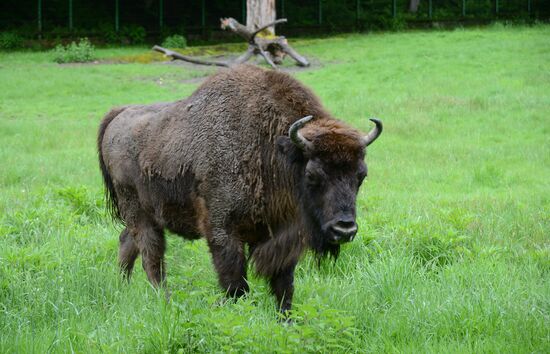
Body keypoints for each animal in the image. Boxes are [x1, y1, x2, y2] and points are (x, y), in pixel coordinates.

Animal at [98, 63, 384, 312]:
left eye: (361, 175)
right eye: (313, 175)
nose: (344, 229)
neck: (273, 149)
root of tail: (118, 114)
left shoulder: (281, 237)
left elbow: (284, 287)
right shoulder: (223, 233)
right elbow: (236, 286)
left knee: (127, 242)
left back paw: (123, 287)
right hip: (139, 213)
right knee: (152, 256)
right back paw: (163, 300)